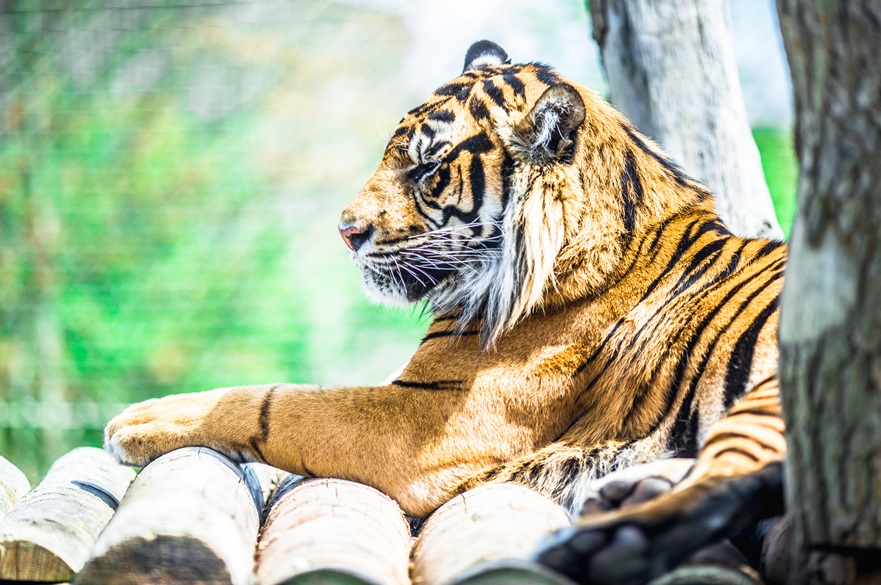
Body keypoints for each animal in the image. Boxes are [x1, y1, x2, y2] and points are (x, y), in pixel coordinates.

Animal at [105, 40, 788, 584]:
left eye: (428, 168)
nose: (345, 232)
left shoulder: (424, 420)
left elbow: (278, 402)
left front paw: (138, 421)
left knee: (741, 476)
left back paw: (605, 543)